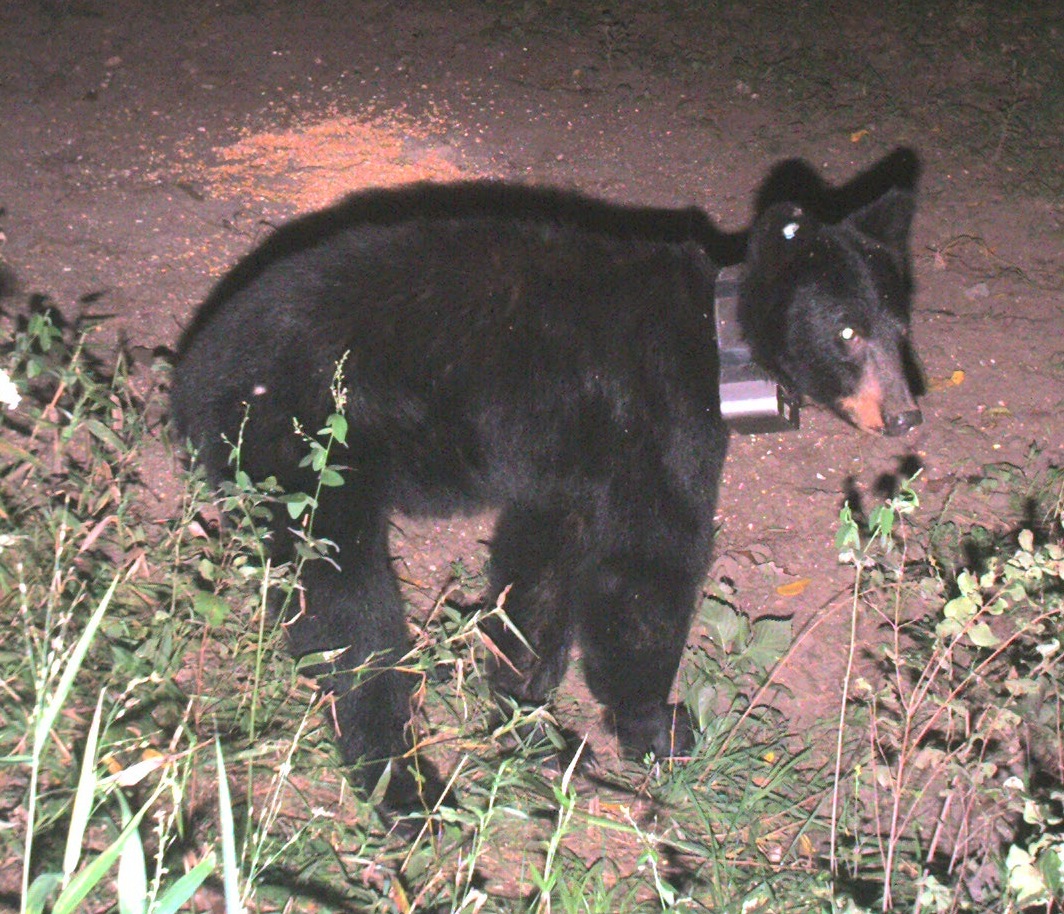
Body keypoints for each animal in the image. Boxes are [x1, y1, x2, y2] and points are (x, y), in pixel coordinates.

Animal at [171, 151, 922, 810]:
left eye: (899, 329)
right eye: (847, 334)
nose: (905, 416)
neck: (716, 337)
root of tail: (192, 373)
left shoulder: (569, 461)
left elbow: (540, 567)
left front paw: (526, 716)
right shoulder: (658, 413)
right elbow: (645, 568)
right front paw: (656, 729)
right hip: (304, 444)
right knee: (347, 614)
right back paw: (405, 787)